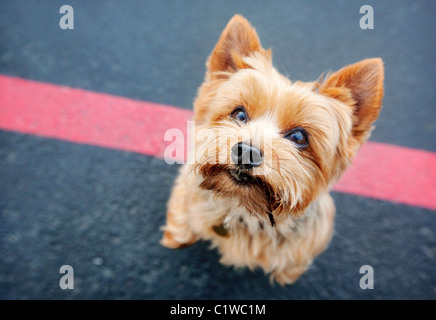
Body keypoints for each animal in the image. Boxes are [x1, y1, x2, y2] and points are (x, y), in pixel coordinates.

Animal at [162, 14, 384, 284]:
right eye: (239, 114)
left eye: (298, 137)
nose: (246, 152)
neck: (243, 209)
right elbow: (182, 218)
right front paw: (176, 238)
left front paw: (286, 276)